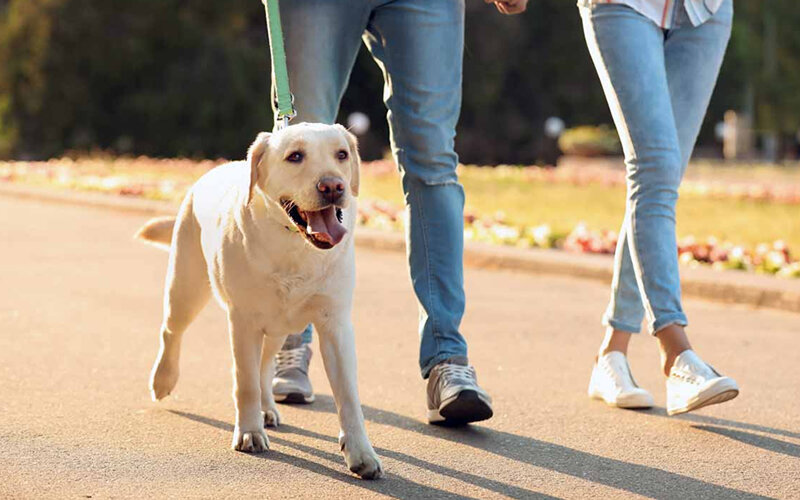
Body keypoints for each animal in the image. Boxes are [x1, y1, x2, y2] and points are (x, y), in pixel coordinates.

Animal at [136, 123, 382, 478]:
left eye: (342, 154)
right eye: (295, 156)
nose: (333, 186)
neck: (294, 244)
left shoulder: (335, 325)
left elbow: (348, 395)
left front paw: (361, 452)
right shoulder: (243, 321)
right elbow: (245, 381)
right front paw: (250, 432)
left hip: (280, 327)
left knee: (265, 365)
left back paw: (267, 407)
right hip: (186, 287)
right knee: (172, 331)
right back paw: (163, 379)